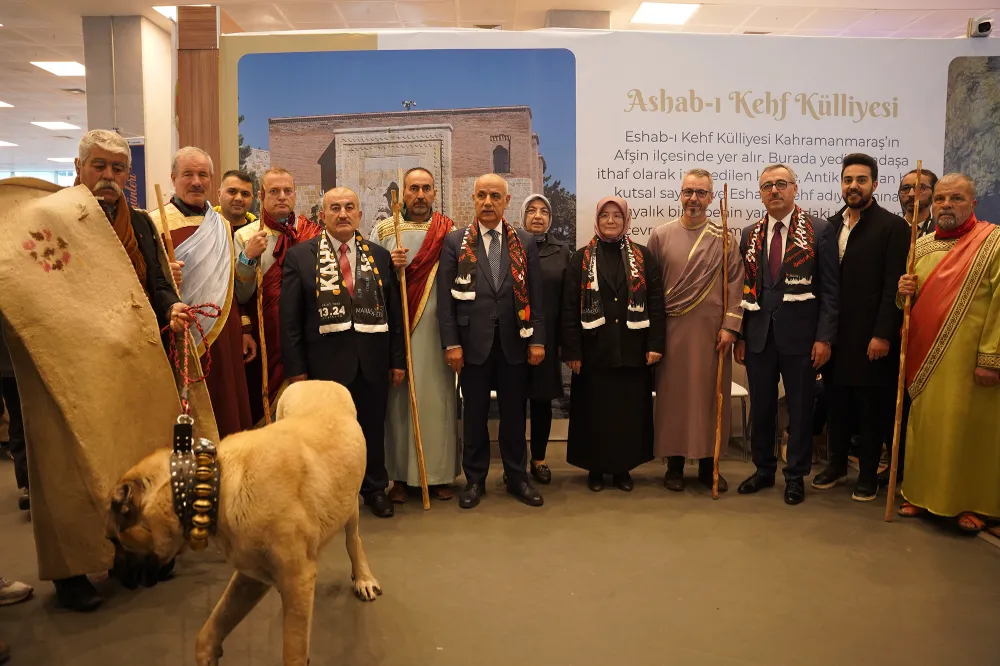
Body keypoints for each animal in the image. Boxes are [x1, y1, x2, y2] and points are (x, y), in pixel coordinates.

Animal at [107, 378, 382, 664]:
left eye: (114, 540)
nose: (114, 575)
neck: (218, 484)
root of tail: (317, 381)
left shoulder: (297, 580)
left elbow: (293, 653)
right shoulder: (251, 577)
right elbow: (210, 631)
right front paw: (209, 654)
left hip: (349, 503)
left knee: (353, 538)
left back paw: (363, 577)